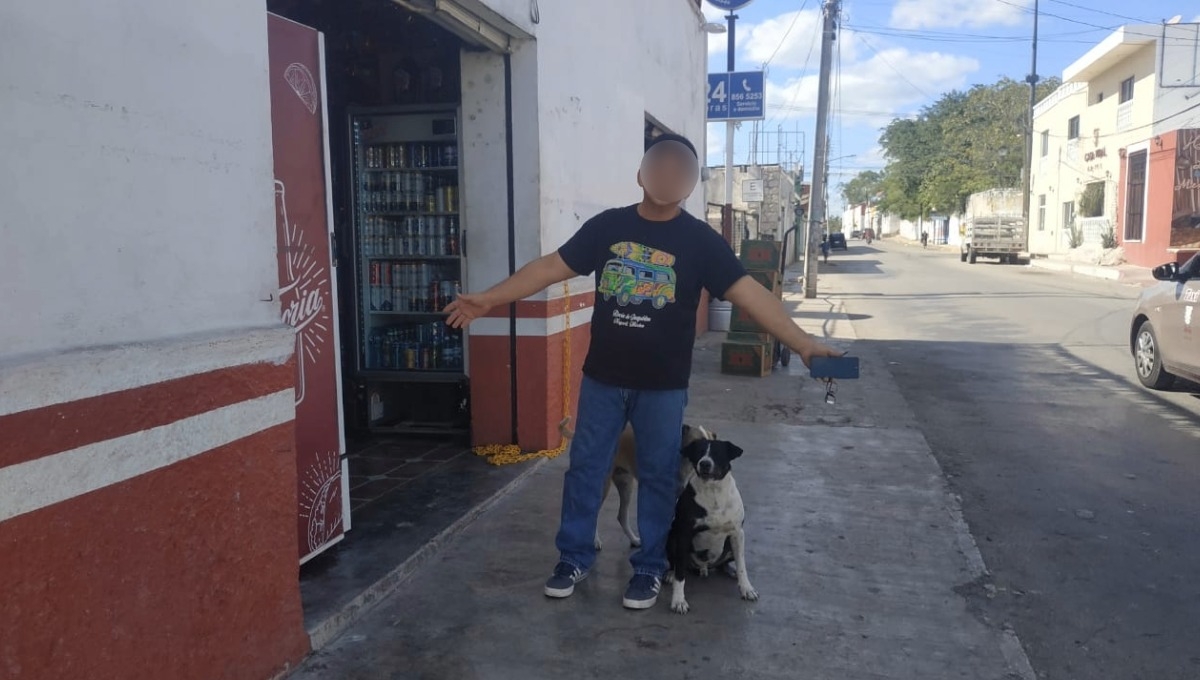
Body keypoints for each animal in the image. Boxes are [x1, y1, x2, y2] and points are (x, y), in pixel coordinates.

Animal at [556, 414, 715, 554]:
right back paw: (595, 541)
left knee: (621, 516)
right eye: (697, 443)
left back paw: (633, 540)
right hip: (603, 485)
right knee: (592, 511)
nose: (707, 464)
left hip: (626, 484)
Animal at [667, 436, 758, 618]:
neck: (713, 491)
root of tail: (704, 567)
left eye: (717, 453)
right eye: (699, 452)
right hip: (672, 538)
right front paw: (678, 601)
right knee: (675, 564)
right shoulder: (683, 534)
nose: (705, 464)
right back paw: (670, 574)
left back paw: (730, 571)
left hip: (729, 547)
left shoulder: (737, 533)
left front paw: (746, 588)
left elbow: (742, 565)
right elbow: (680, 575)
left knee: (727, 562)